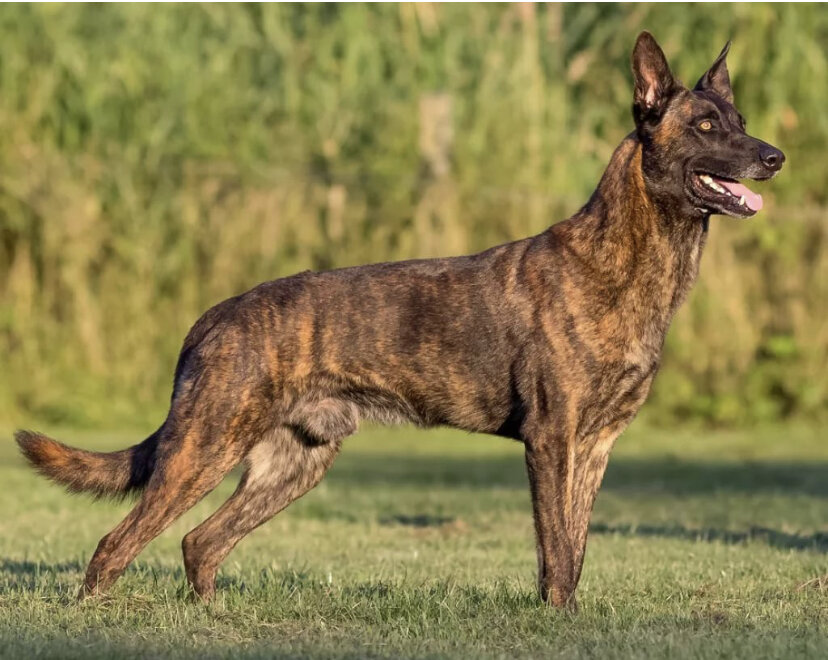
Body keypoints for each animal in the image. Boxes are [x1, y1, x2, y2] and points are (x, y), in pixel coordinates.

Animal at [17, 31, 784, 608]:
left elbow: (578, 547)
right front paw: (557, 620)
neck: (626, 265)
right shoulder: (551, 441)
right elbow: (556, 550)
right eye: (708, 127)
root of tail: (210, 320)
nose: (775, 156)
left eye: (741, 122)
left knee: (198, 543)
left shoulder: (596, 446)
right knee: (116, 545)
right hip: (202, 450)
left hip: (294, 464)